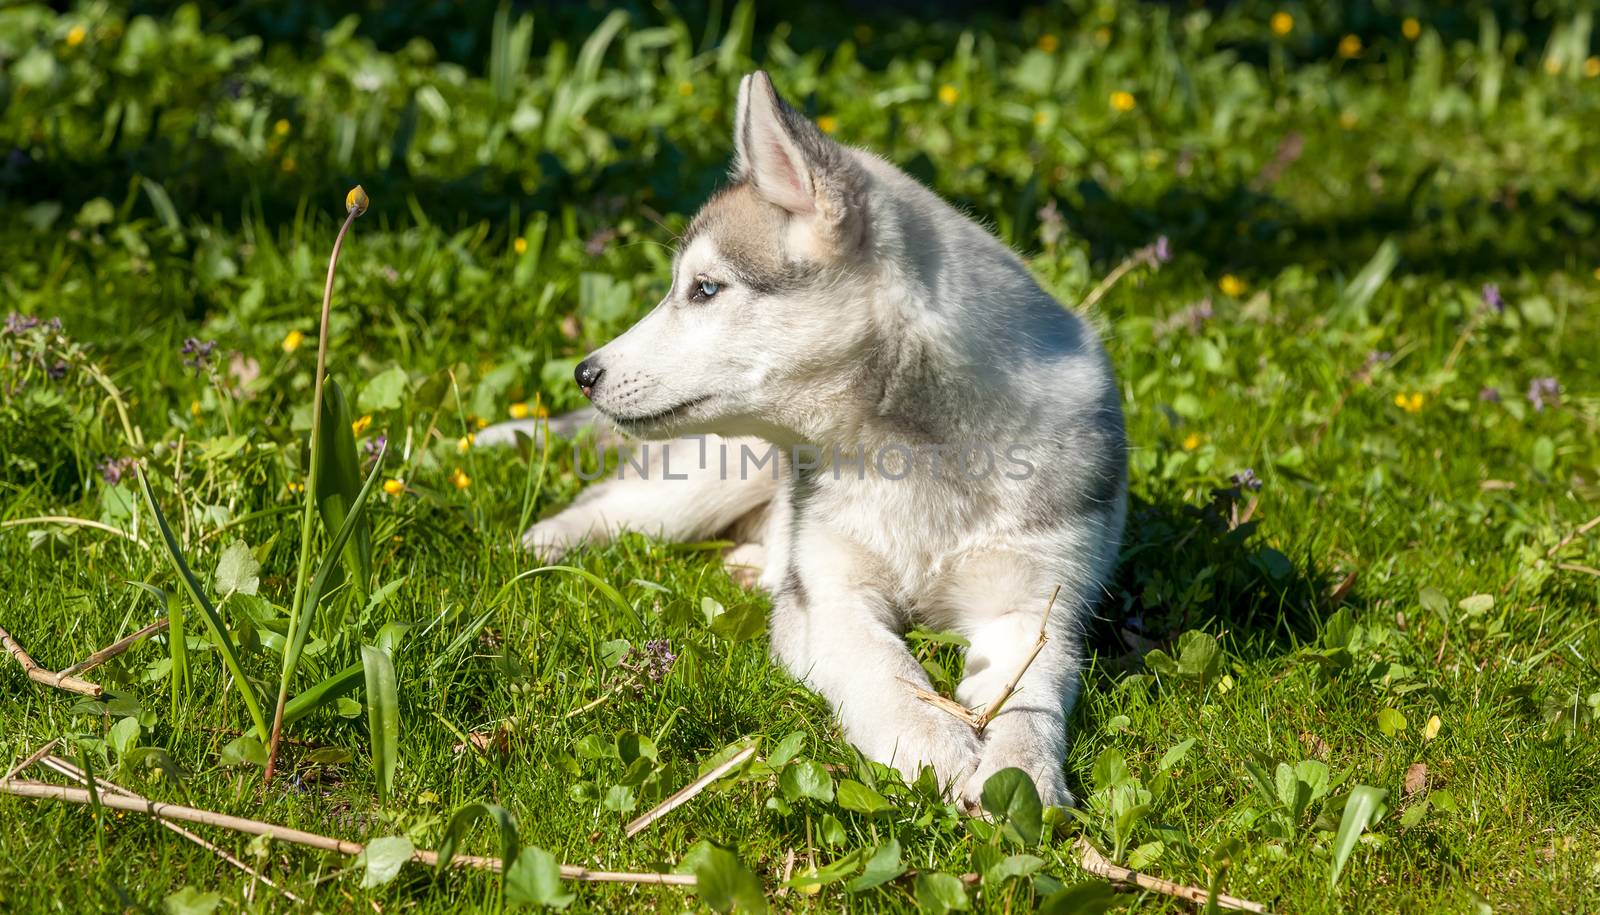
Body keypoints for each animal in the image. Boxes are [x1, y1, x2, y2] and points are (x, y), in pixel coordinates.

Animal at [483, 71, 1126, 803]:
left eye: (705, 289)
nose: (585, 373)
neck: (915, 460)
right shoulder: (830, 592)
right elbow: (881, 665)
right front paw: (933, 743)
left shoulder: (1036, 604)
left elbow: (1030, 697)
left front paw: (1023, 778)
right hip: (702, 479)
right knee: (611, 507)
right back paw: (542, 541)